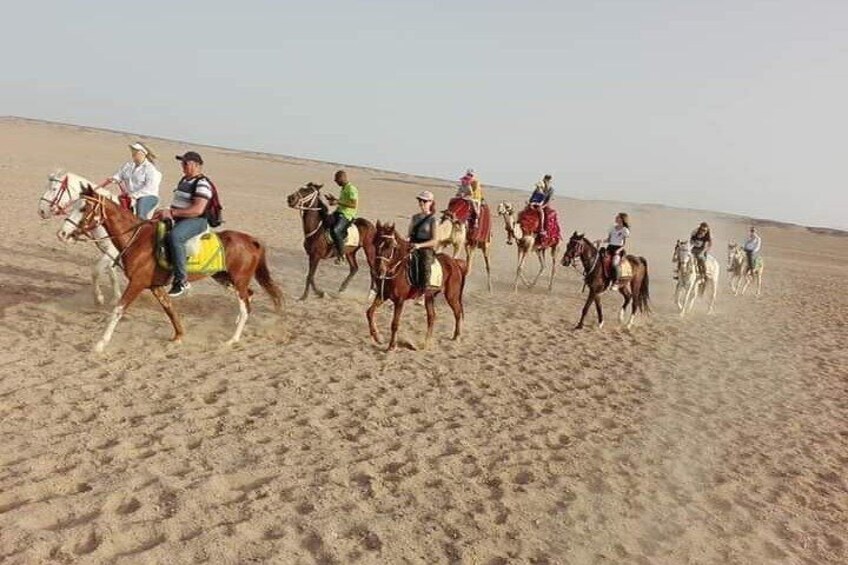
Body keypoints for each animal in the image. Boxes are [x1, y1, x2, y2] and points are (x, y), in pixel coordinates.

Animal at [37, 171, 122, 304]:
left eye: (54, 189)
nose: (41, 211)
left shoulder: (113, 250)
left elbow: (96, 270)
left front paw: (98, 298)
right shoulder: (107, 250)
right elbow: (110, 272)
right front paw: (115, 297)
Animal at [59, 187, 286, 350]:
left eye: (83, 208)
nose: (62, 234)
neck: (138, 240)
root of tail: (252, 241)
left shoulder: (137, 283)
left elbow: (118, 310)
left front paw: (100, 344)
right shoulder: (156, 286)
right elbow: (170, 310)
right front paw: (178, 336)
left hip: (238, 280)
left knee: (245, 305)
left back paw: (233, 339)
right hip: (224, 277)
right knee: (249, 296)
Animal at [366, 221, 468, 350]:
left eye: (390, 246)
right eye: (375, 243)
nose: (379, 270)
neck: (398, 269)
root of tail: (455, 263)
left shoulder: (399, 301)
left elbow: (395, 323)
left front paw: (392, 346)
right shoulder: (383, 295)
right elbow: (369, 312)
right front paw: (378, 337)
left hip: (451, 296)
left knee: (457, 312)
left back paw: (456, 336)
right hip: (430, 296)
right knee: (432, 317)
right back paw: (426, 343)